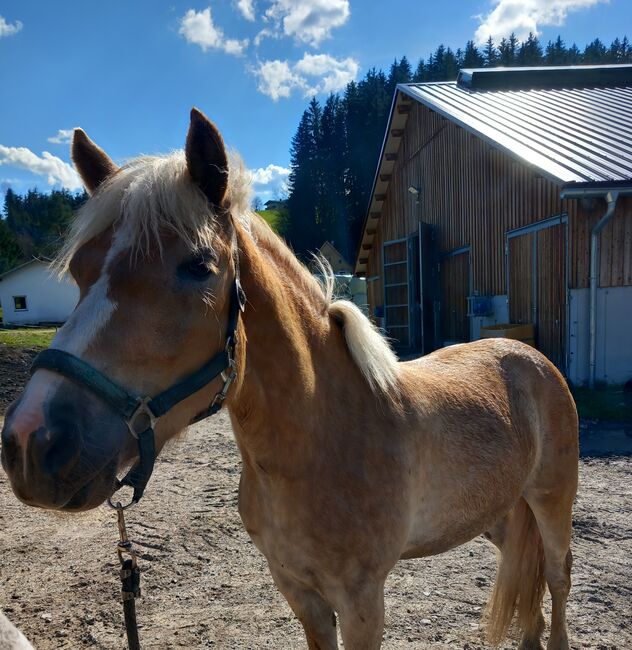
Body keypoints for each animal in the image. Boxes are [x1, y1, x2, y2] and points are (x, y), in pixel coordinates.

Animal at [1, 107, 576, 648]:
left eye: (198, 266)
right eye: (80, 270)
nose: (30, 442)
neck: (321, 439)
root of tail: (527, 354)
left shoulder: (362, 601)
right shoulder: (299, 591)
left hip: (552, 502)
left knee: (556, 576)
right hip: (499, 513)